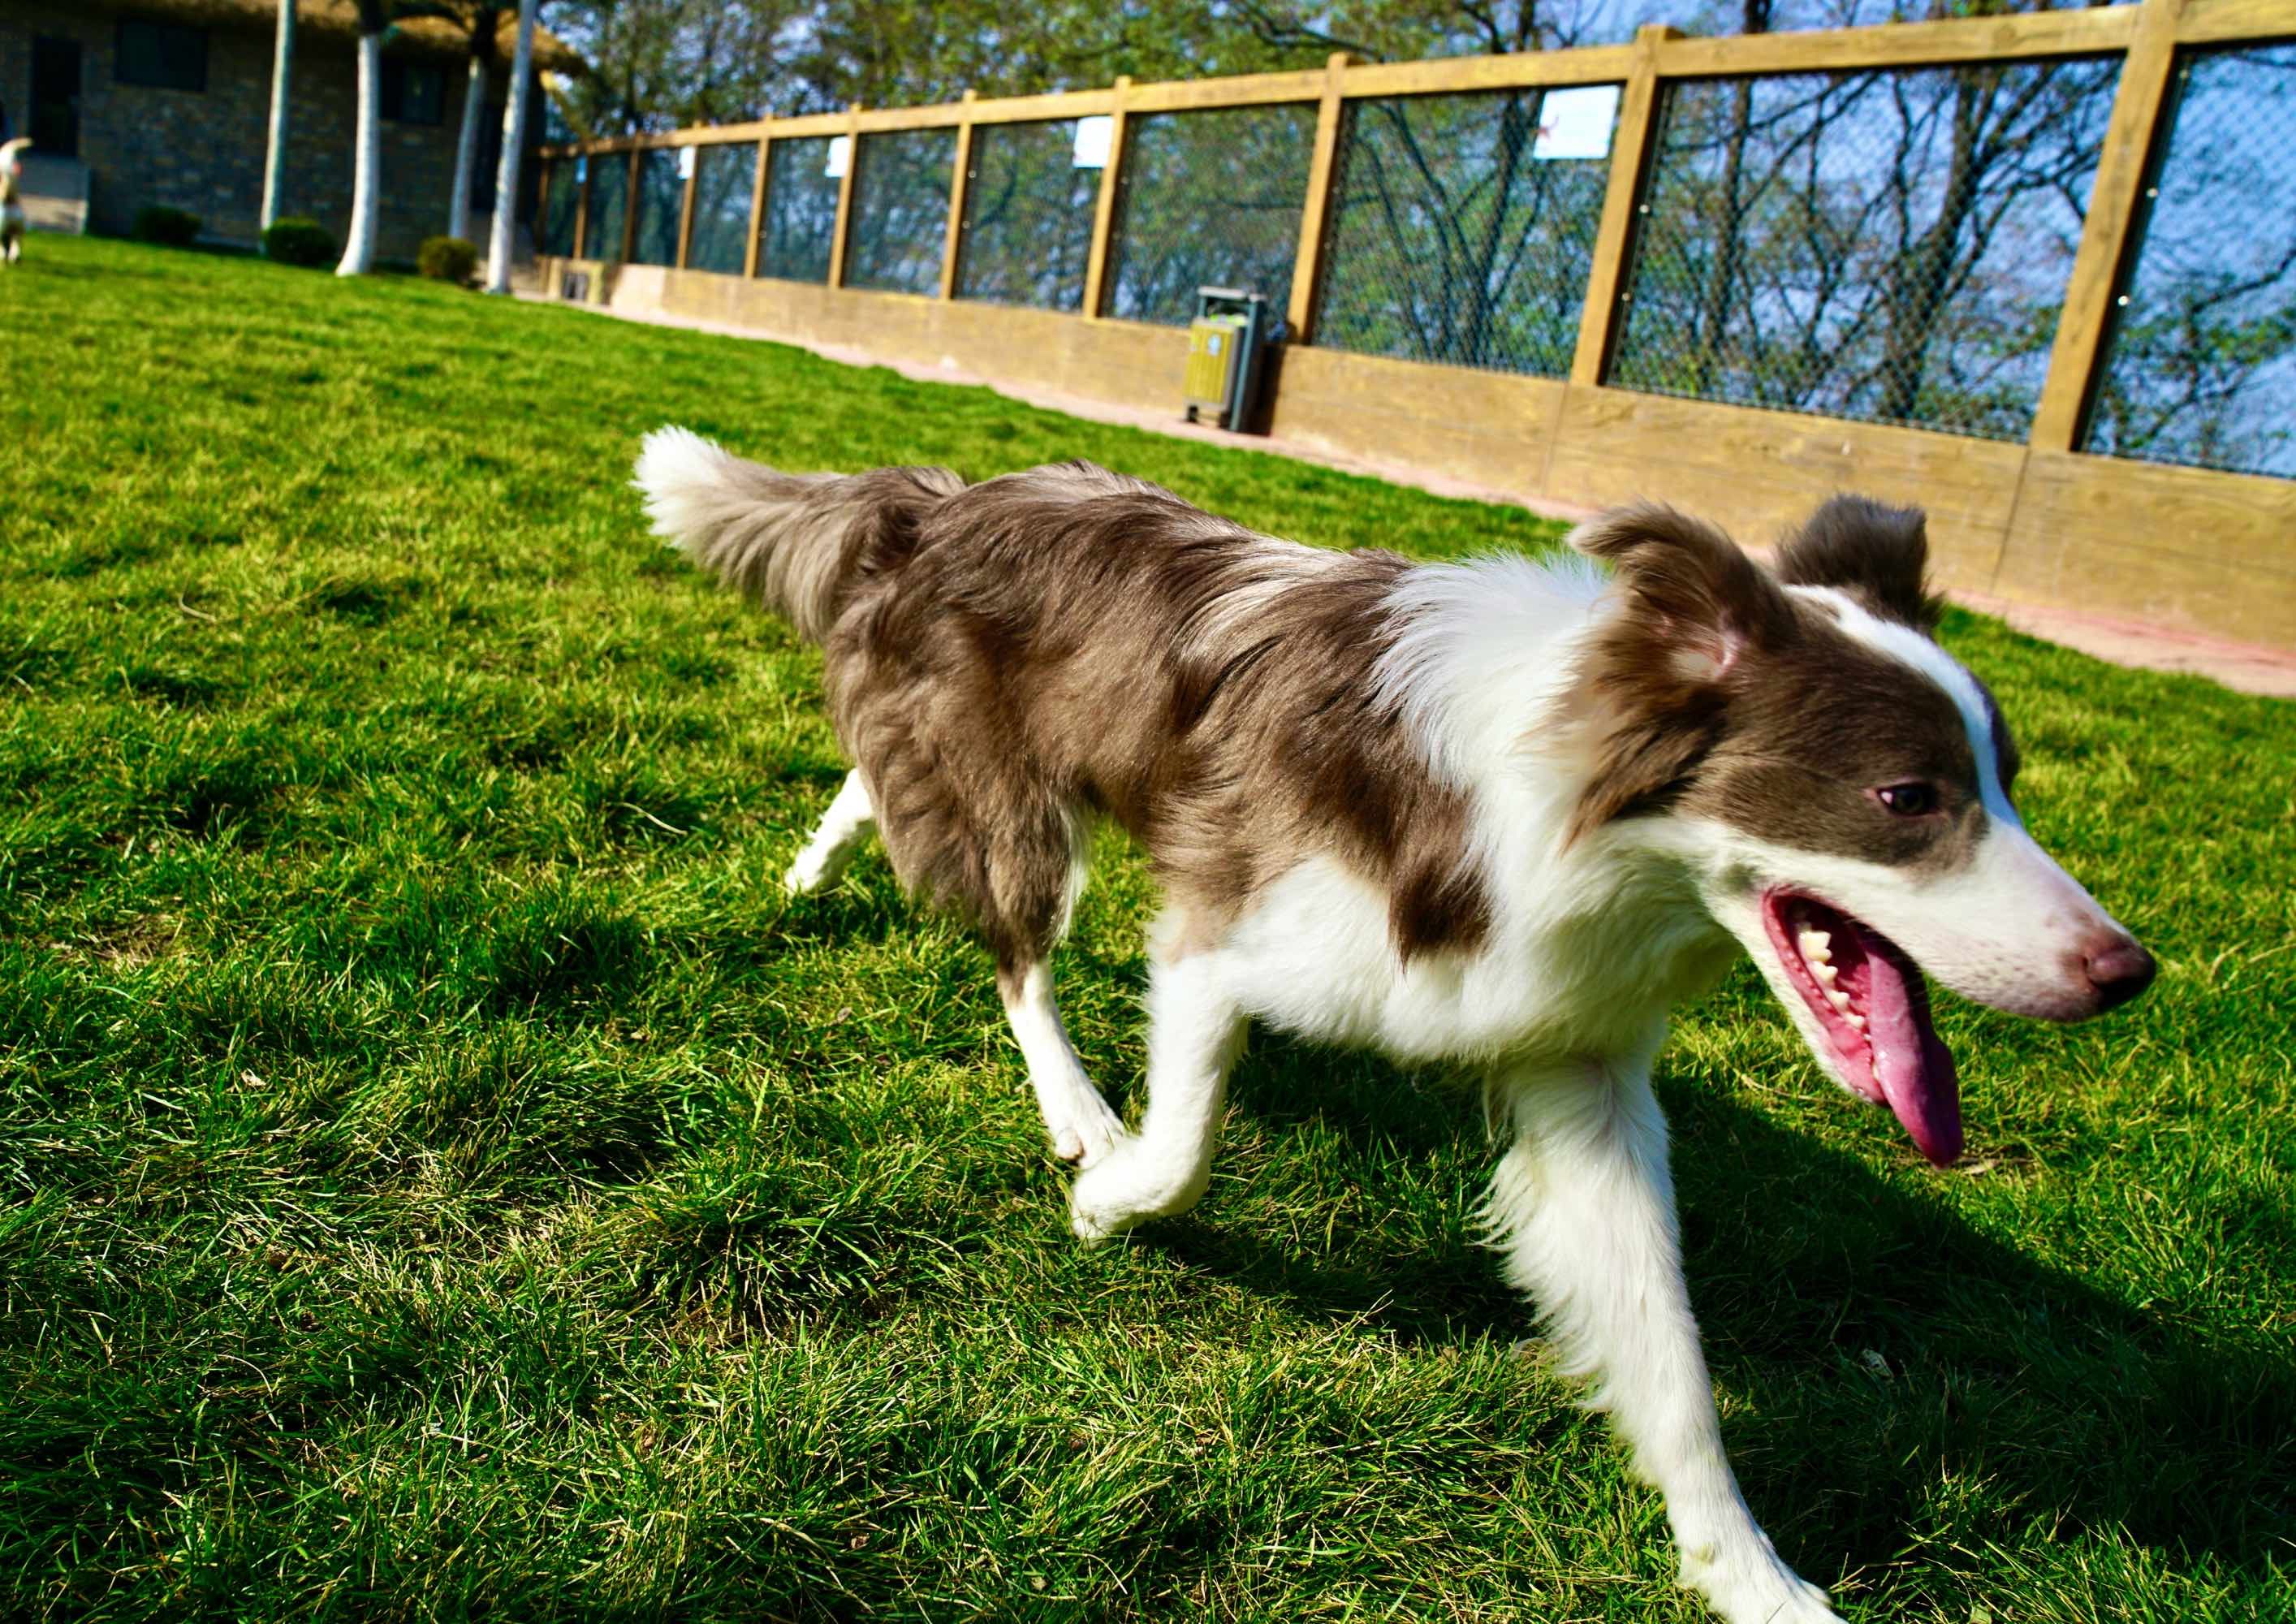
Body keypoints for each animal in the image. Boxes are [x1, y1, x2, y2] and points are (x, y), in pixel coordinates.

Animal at [633, 429, 2149, 1624]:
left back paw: (811, 870)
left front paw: (1751, 1578)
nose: (2126, 971)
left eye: (2008, 782)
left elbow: (1666, 1346)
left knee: (881, 790)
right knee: (1017, 958)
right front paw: (1111, 1196)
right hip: (1024, 813)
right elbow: (1186, 1145)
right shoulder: (1225, 935)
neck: (1569, 816)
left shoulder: (1577, 1070)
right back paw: (1072, 1106)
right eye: (1907, 797)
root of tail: (939, 498)